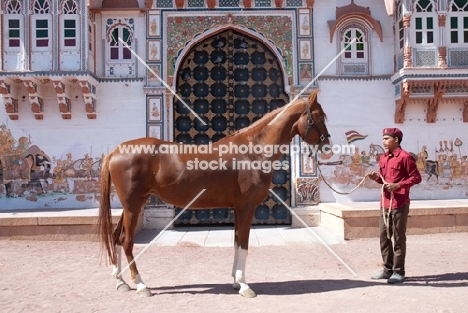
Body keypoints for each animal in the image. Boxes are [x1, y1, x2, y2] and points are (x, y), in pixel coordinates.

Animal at [98, 89, 330, 296]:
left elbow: (237, 242)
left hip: (132, 205)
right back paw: (141, 285)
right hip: (133, 206)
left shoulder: (238, 209)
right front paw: (244, 286)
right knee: (126, 240)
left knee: (116, 237)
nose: (327, 144)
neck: (252, 152)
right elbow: (244, 245)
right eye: (319, 116)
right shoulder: (246, 207)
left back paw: (120, 281)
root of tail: (116, 151)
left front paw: (236, 282)